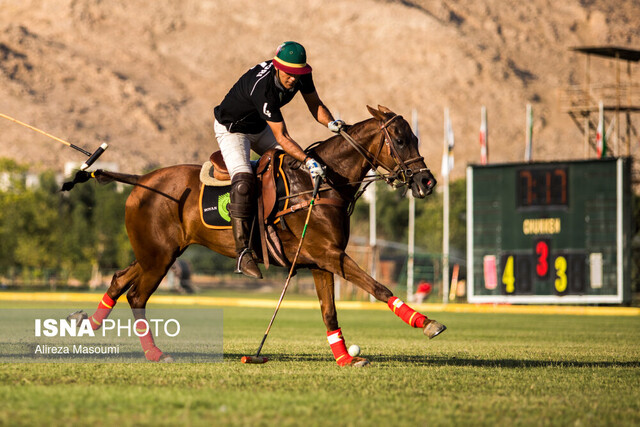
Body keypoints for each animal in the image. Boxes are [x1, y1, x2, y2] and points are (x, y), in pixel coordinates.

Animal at [75, 105, 444, 366]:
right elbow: (378, 287)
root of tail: (141, 180)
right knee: (137, 295)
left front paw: (345, 358)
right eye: (400, 140)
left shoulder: (322, 260)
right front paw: (426, 322)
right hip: (158, 256)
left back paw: (88, 325)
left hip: (158, 252)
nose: (427, 182)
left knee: (119, 279)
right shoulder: (329, 254)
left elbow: (329, 311)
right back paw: (154, 353)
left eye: (415, 138)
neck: (322, 183)